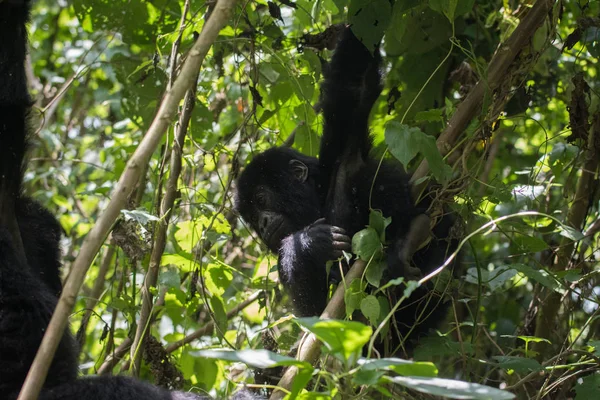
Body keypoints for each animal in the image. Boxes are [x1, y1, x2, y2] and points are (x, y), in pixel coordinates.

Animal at [237, 27, 458, 354]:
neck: (319, 197)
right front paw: (305, 244)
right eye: (252, 217)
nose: (263, 224)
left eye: (262, 199)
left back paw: (410, 235)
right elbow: (319, 321)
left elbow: (352, 82)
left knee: (368, 175)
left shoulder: (342, 143)